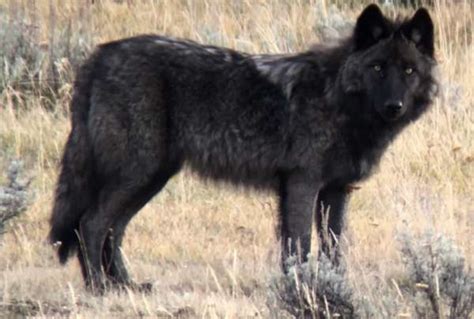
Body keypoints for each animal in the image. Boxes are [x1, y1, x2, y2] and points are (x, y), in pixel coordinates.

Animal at [49, 4, 436, 292]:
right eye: (377, 68)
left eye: (409, 71)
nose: (394, 106)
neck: (336, 99)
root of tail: (98, 56)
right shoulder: (302, 183)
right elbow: (299, 246)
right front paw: (302, 290)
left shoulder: (336, 191)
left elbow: (333, 250)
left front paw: (334, 289)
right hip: (137, 175)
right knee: (92, 224)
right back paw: (99, 289)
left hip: (150, 179)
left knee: (112, 230)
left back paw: (125, 286)